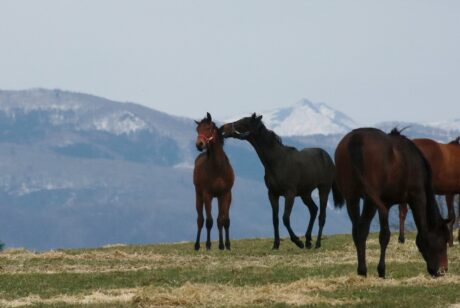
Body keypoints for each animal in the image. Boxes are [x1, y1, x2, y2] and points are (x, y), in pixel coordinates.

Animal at [192, 112, 234, 250]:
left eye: (209, 128)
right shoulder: (207, 195)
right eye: (197, 129)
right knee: (200, 220)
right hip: (199, 196)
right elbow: (209, 221)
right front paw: (208, 245)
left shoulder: (226, 194)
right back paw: (197, 245)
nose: (199, 145)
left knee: (219, 220)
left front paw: (225, 245)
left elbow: (224, 220)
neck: (218, 168)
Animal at [336, 127, 452, 276]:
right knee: (362, 228)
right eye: (444, 240)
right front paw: (381, 270)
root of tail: (356, 139)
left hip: (352, 197)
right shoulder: (416, 196)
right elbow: (385, 235)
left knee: (356, 229)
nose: (443, 270)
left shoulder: (384, 204)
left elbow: (383, 235)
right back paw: (363, 270)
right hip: (370, 200)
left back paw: (361, 270)